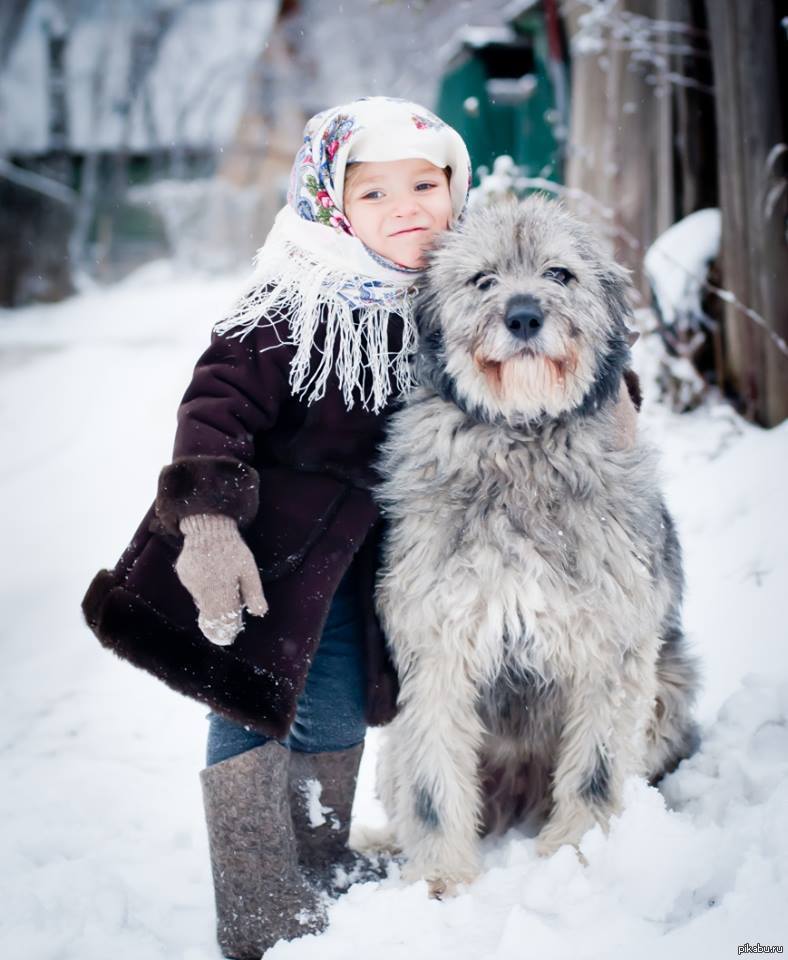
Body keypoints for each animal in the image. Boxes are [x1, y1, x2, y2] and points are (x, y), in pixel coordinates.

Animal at [372, 195, 700, 900]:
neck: (522, 439)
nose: (523, 316)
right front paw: (440, 879)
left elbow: (597, 771)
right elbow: (432, 787)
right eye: (483, 280)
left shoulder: (613, 645)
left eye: (559, 274)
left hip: (670, 688)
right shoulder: (436, 644)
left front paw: (578, 854)